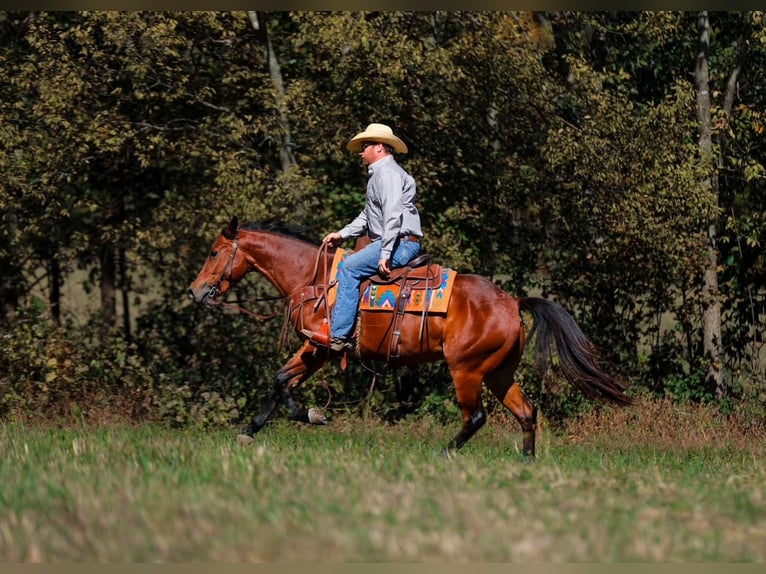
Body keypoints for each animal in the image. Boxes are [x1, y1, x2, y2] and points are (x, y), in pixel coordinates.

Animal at [188, 216, 632, 457]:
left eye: (213, 252)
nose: (195, 292)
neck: (313, 279)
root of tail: (512, 300)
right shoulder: (316, 349)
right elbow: (280, 380)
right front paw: (249, 432)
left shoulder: (321, 347)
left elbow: (284, 384)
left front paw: (313, 414)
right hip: (498, 372)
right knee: (526, 413)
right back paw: (526, 464)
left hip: (467, 371)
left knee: (476, 416)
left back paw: (443, 454)